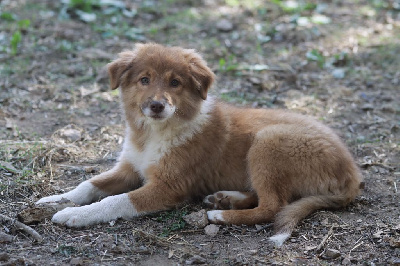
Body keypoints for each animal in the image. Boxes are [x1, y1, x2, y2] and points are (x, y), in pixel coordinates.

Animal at [37, 43, 362, 245]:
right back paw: (224, 198)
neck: (154, 133)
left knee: (273, 206)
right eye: (144, 80)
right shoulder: (129, 167)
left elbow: (115, 201)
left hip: (269, 141)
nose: (157, 106)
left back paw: (220, 214)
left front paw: (74, 215)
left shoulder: (169, 186)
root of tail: (352, 174)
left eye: (175, 83)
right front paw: (55, 199)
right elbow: (88, 185)